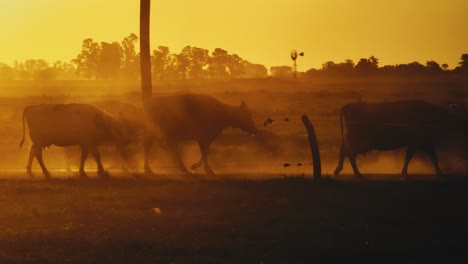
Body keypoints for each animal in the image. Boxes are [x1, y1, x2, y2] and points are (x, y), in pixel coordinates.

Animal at [332, 100, 468, 179]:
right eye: (461, 119)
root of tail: (349, 106)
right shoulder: (421, 143)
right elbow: (429, 158)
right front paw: (440, 173)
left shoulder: (421, 143)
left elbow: (416, 157)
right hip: (357, 140)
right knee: (349, 154)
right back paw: (357, 173)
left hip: (350, 139)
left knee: (344, 152)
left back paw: (339, 170)